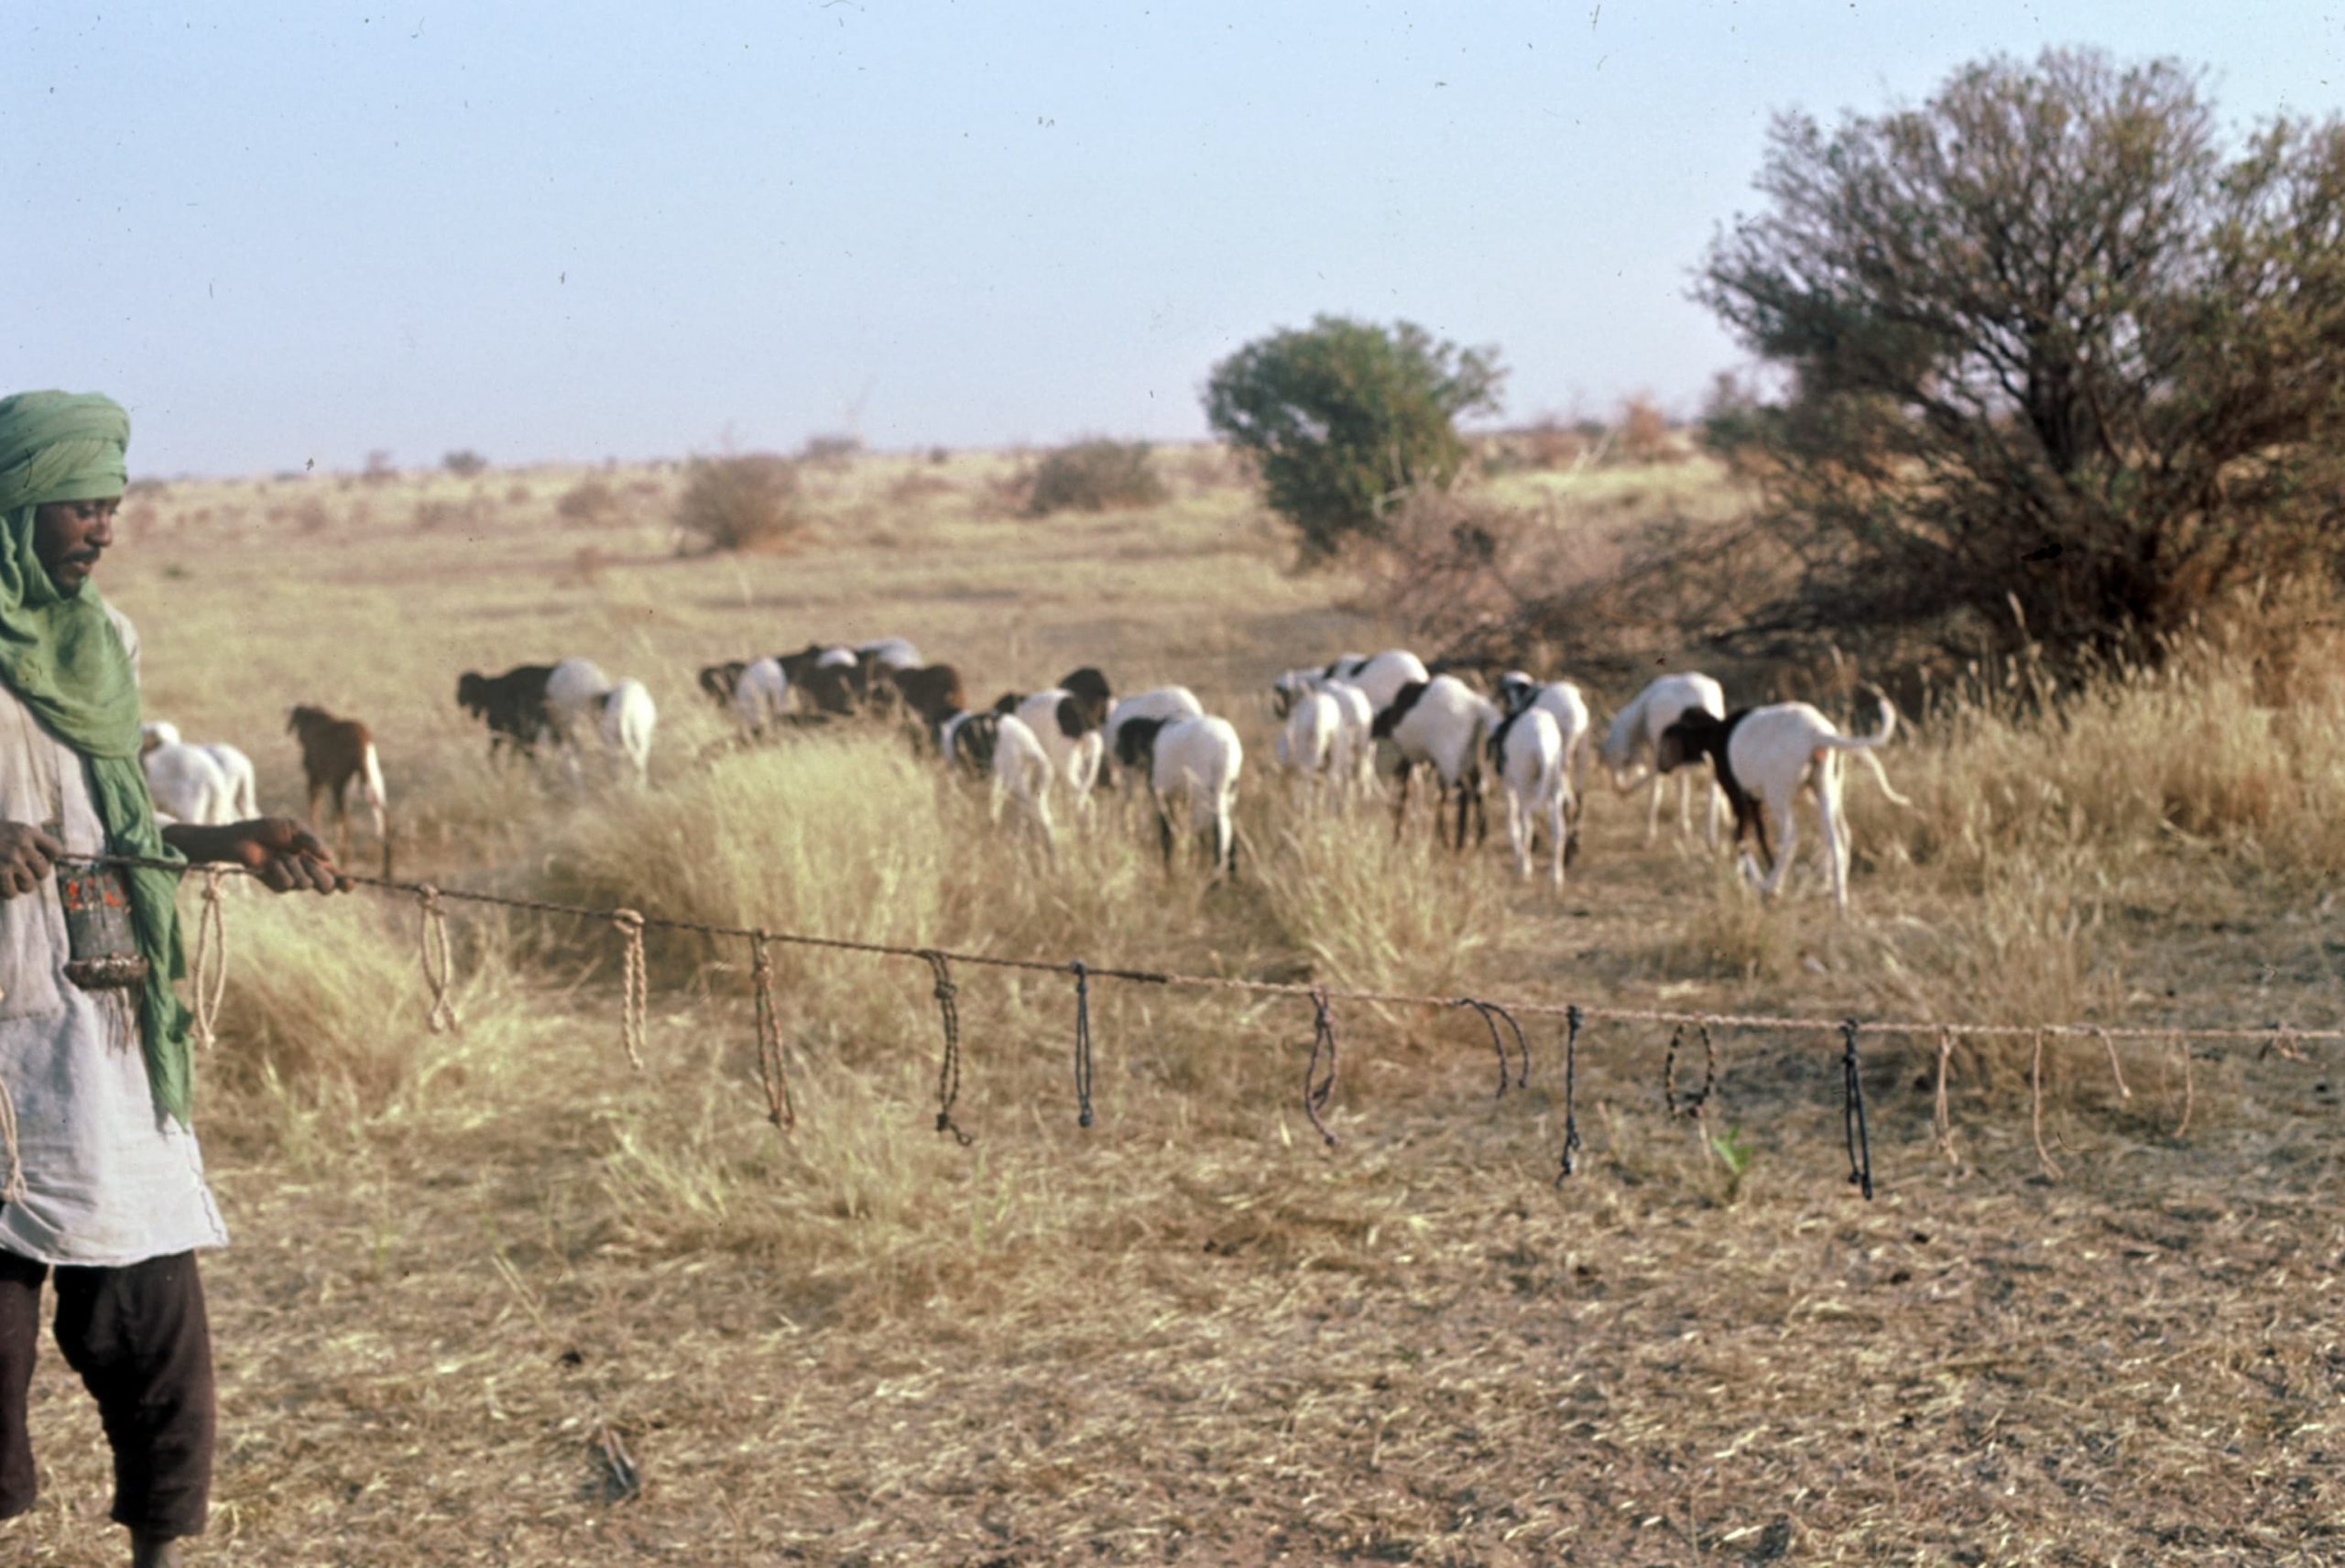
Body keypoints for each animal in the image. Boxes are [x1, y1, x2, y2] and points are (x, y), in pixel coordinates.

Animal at [286, 702, 391, 877]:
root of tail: (363, 741)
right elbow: (333, 817)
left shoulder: (316, 778)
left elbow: (315, 810)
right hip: (371, 780)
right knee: (384, 819)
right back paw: (386, 872)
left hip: (340, 785)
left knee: (348, 823)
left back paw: (345, 864)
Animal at [1116, 712, 1247, 877]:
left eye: (1124, 741)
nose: (1117, 753)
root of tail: (1226, 748)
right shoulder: (1179, 797)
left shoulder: (1163, 793)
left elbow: (1167, 835)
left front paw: (1168, 873)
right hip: (1227, 793)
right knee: (1227, 836)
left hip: (1205, 794)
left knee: (1215, 834)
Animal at [1604, 670, 1735, 844]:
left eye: (1623, 761)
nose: (1620, 790)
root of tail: (1703, 699)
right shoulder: (1681, 757)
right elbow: (1683, 789)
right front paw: (1685, 828)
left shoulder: (1660, 751)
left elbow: (1656, 792)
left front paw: (1650, 835)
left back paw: (1710, 837)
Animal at [1660, 689, 1913, 909]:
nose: (1662, 767)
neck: (1716, 732)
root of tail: (1817, 733)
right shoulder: (1755, 801)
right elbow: (1760, 836)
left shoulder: (1739, 797)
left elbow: (1741, 838)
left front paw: (1755, 881)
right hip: (1824, 789)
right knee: (1838, 837)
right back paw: (1839, 901)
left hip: (1779, 795)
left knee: (1791, 836)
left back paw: (1771, 887)